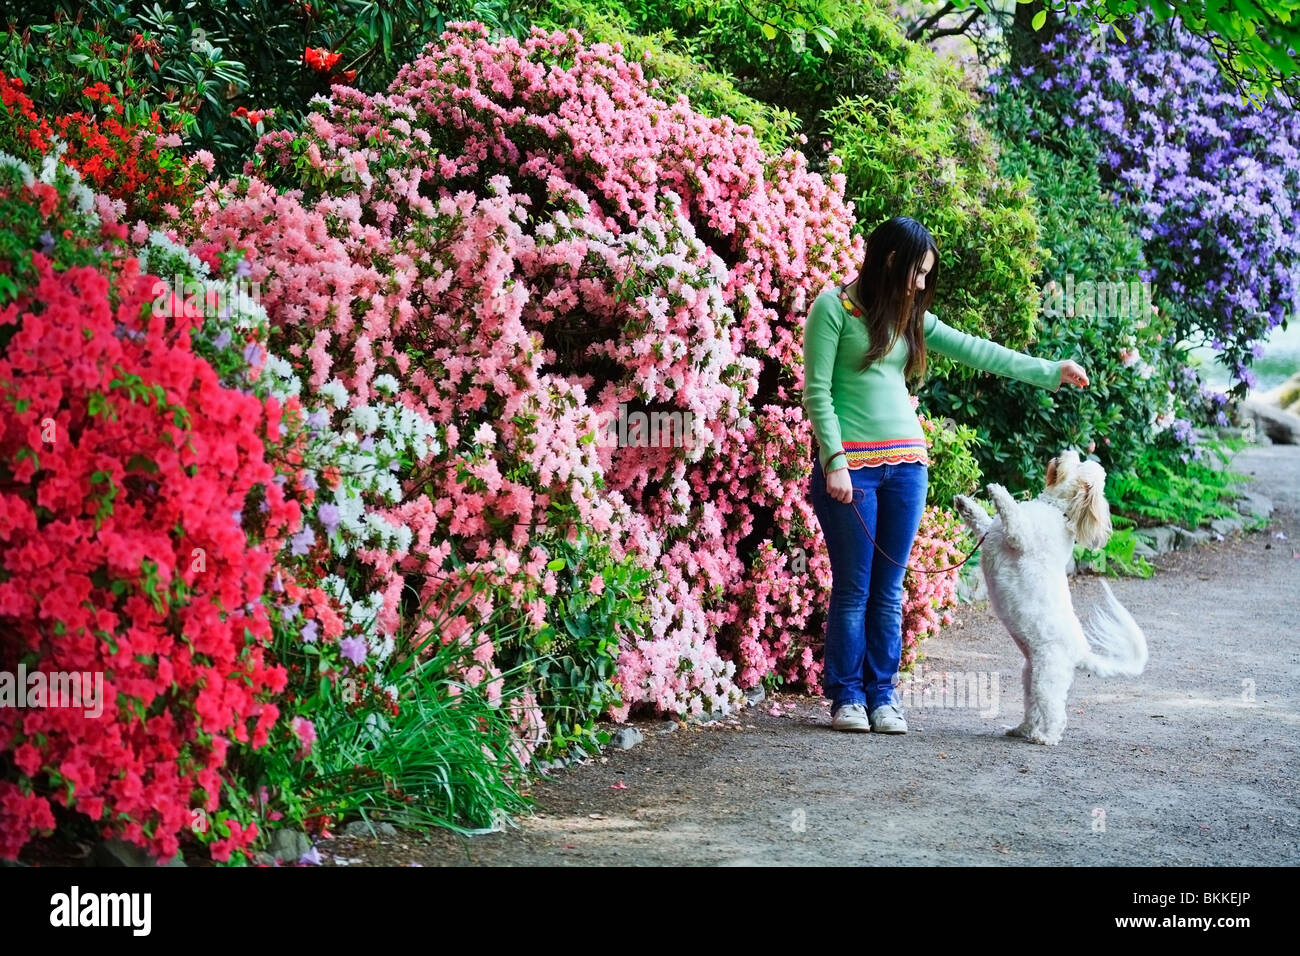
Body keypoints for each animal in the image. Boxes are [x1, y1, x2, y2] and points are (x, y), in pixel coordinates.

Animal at [956, 450, 1149, 749]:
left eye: (1080, 463)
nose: (1064, 453)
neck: (1057, 510)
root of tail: (1081, 652)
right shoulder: (991, 532)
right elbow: (981, 521)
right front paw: (965, 503)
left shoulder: (1020, 536)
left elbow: (1011, 514)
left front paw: (997, 491)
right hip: (1030, 676)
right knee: (1033, 709)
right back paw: (1022, 730)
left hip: (1048, 677)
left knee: (1055, 713)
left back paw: (1046, 737)